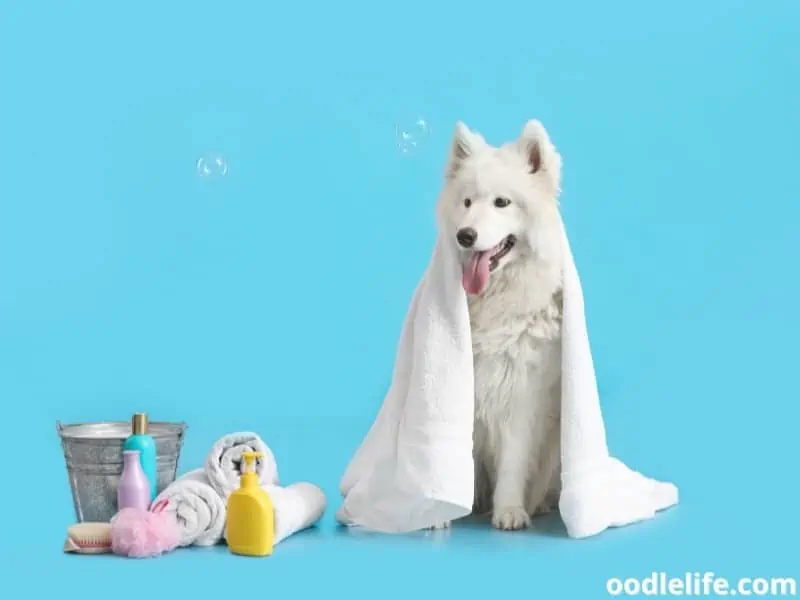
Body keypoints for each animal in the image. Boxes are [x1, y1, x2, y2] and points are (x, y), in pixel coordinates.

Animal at [438, 120, 564, 528]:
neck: (494, 303)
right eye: (466, 203)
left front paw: (509, 511)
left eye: (502, 203)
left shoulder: (521, 394)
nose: (465, 235)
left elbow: (513, 463)